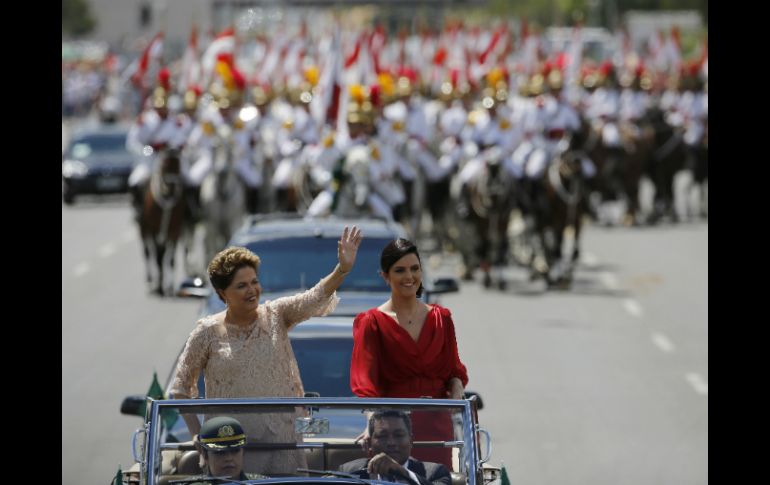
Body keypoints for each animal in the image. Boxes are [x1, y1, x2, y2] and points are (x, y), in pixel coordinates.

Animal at [138, 149, 186, 296]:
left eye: (179, 166)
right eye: (164, 165)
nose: (171, 188)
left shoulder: (175, 231)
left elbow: (170, 259)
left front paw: (170, 286)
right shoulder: (153, 230)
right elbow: (158, 257)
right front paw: (160, 287)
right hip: (144, 229)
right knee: (148, 252)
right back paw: (150, 280)